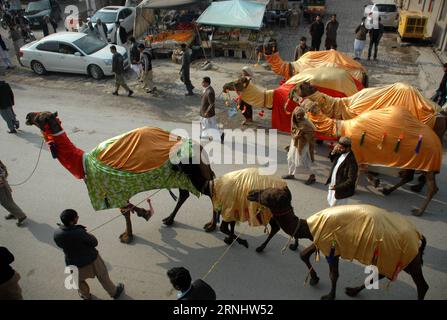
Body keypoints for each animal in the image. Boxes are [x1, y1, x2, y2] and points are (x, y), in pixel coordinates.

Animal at [25, 112, 216, 242]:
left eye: (41, 117)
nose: (28, 116)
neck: (83, 162)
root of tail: (200, 148)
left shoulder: (113, 190)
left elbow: (125, 212)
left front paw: (127, 236)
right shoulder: (118, 191)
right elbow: (127, 209)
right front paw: (143, 213)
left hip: (195, 175)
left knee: (210, 191)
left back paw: (211, 225)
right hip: (182, 176)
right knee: (184, 194)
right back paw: (169, 220)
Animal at [248, 188, 430, 300]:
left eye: (267, 195)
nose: (251, 192)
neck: (309, 226)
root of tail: (419, 236)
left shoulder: (331, 246)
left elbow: (333, 274)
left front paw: (329, 295)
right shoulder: (322, 239)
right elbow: (304, 254)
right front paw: (315, 279)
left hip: (409, 259)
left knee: (422, 285)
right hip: (393, 256)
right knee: (385, 272)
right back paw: (352, 291)